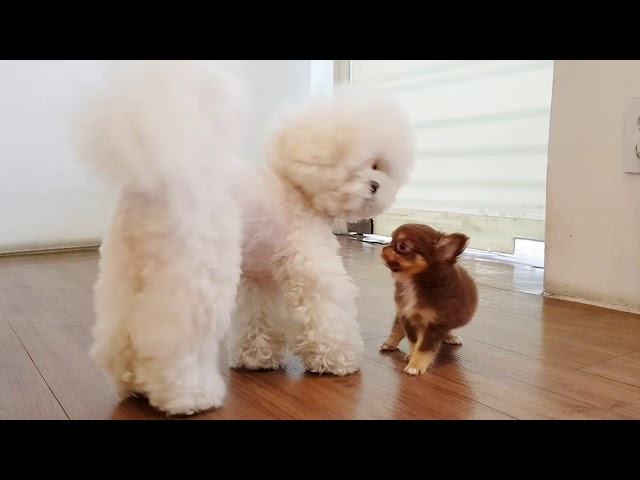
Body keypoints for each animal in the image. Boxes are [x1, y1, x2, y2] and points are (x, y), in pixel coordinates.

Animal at [74, 61, 416, 416]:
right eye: (360, 166)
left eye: (379, 166)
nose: (376, 185)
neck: (298, 190)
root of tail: (158, 178)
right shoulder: (311, 266)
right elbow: (326, 313)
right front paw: (338, 360)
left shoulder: (258, 280)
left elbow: (258, 320)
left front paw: (258, 359)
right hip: (196, 275)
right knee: (177, 340)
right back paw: (190, 395)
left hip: (125, 272)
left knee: (121, 332)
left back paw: (132, 383)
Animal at [378, 223, 478, 376]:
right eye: (391, 239)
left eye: (402, 246)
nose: (385, 247)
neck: (413, 282)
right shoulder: (407, 316)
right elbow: (414, 341)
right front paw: (412, 356)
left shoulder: (436, 322)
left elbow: (424, 347)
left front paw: (415, 365)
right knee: (397, 327)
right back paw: (390, 343)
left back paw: (449, 337)